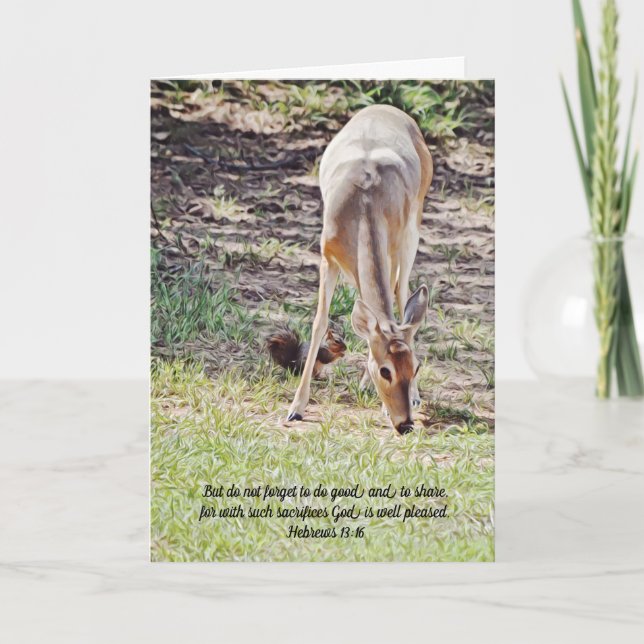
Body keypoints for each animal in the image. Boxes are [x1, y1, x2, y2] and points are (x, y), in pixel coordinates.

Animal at [286, 104, 433, 434]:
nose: (405, 424)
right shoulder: (327, 256)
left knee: (403, 293)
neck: (364, 203)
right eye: (386, 371)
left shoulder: (393, 243)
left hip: (412, 230)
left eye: (417, 367)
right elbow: (320, 323)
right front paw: (296, 408)